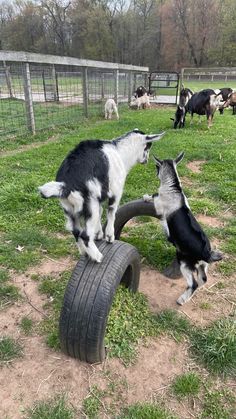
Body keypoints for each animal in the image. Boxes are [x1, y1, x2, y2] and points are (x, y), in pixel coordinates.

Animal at [38, 130, 165, 264]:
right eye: (147, 147)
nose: (146, 160)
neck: (120, 152)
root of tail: (66, 185)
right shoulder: (115, 191)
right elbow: (111, 213)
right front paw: (109, 237)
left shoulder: (98, 197)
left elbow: (101, 211)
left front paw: (99, 235)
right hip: (89, 205)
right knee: (85, 234)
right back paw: (97, 256)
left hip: (69, 208)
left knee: (76, 231)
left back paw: (85, 252)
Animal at [143, 154, 222, 306]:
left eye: (156, 167)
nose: (154, 171)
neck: (174, 189)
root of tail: (206, 253)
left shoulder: (159, 204)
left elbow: (155, 195)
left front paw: (145, 196)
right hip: (201, 266)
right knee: (203, 279)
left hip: (184, 262)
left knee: (193, 283)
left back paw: (181, 300)